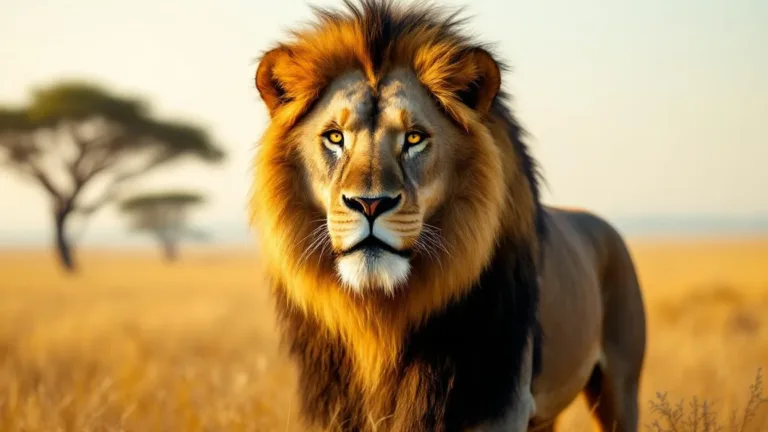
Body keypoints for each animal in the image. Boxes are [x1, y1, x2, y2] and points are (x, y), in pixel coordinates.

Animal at [249, 1, 647, 431]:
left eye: (414, 138)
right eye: (335, 137)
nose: (370, 204)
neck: (380, 322)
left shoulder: (500, 406)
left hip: (620, 387)